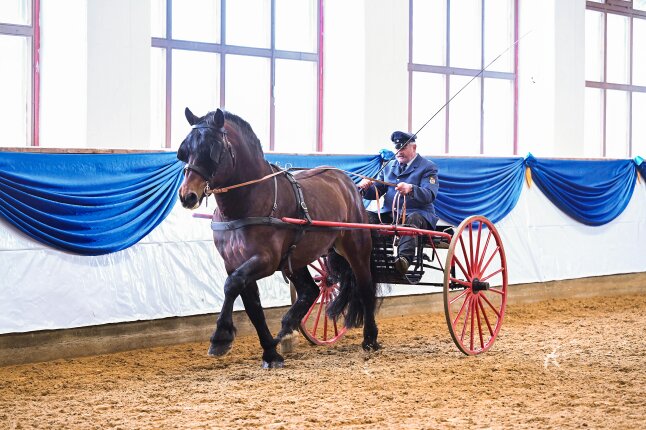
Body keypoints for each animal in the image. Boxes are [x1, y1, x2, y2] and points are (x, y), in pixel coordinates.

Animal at [176, 106, 380, 366]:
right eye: (185, 150)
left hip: (356, 246)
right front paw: (270, 352)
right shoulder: (234, 263)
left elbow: (231, 286)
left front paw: (221, 337)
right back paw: (286, 329)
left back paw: (370, 339)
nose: (187, 196)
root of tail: (347, 182)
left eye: (212, 149)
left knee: (365, 287)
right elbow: (252, 306)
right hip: (297, 258)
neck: (247, 202)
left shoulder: (266, 260)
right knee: (310, 290)